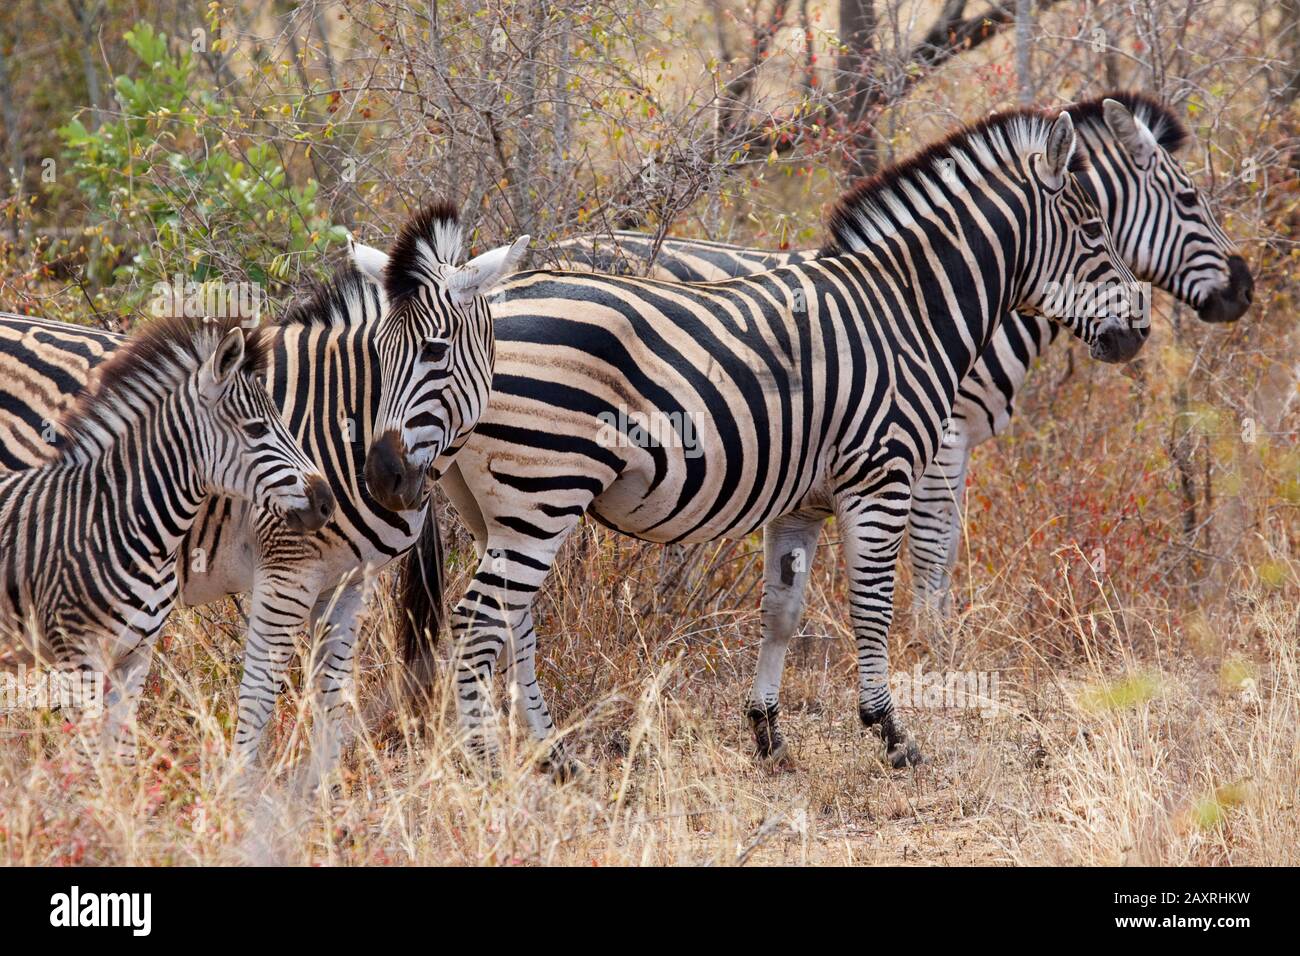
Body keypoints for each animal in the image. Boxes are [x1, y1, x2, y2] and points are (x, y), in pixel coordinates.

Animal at [0, 317, 332, 759]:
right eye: (257, 429)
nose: (327, 501)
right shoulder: (77, 655)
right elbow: (90, 762)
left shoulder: (135, 656)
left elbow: (122, 755)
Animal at [364, 108, 1149, 775]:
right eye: (1093, 232)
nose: (1137, 335)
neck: (906, 311)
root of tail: (487, 302)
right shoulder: (882, 476)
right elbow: (872, 606)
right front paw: (891, 734)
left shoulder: (803, 499)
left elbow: (782, 613)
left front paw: (768, 733)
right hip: (543, 490)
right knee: (479, 622)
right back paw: (485, 768)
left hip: (493, 503)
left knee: (513, 620)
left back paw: (554, 757)